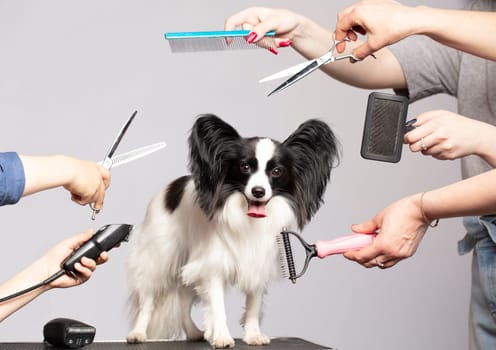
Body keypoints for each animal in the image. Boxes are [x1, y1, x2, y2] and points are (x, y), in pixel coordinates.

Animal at [126, 114, 340, 348]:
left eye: (276, 171)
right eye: (245, 167)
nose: (258, 191)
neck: (249, 220)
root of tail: (169, 189)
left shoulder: (257, 264)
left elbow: (254, 305)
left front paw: (253, 335)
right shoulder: (212, 267)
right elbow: (217, 307)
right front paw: (221, 336)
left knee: (182, 300)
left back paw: (193, 332)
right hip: (159, 258)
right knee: (148, 300)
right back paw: (138, 333)